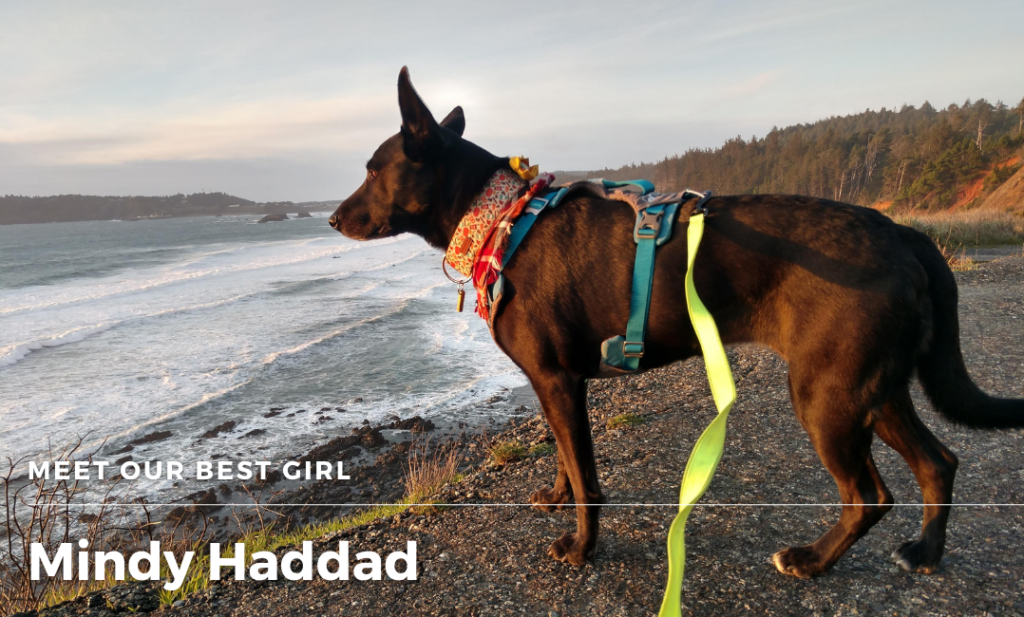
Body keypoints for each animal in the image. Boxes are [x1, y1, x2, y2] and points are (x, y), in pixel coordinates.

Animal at [331, 68, 1019, 581]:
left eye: (372, 170)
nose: (333, 219)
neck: (502, 215)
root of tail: (902, 231)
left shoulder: (557, 380)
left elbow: (587, 476)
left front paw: (581, 548)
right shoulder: (554, 386)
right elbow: (564, 458)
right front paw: (555, 497)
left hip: (828, 394)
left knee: (870, 494)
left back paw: (812, 560)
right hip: (874, 388)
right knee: (939, 461)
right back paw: (925, 552)